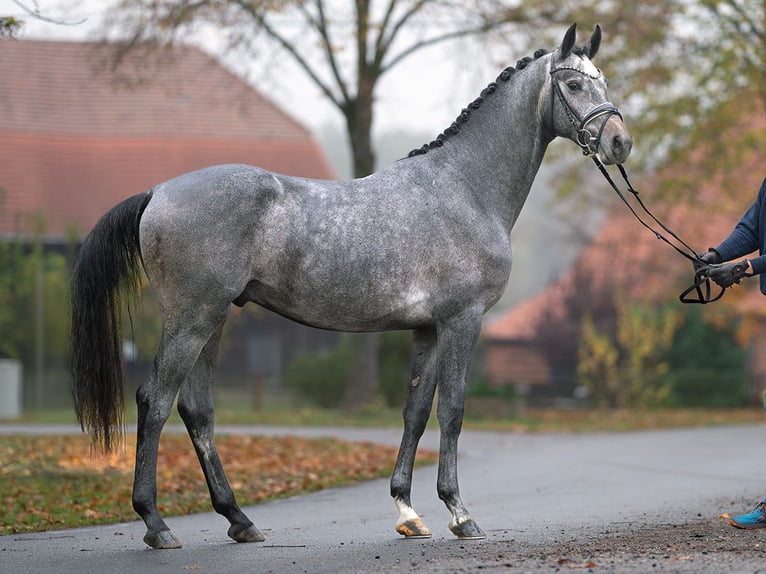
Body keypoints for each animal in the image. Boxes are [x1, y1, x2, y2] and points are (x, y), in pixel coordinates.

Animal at [69, 24, 632, 552]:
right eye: (575, 84)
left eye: (605, 81)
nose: (619, 143)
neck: (466, 187)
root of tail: (158, 192)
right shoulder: (462, 321)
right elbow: (452, 411)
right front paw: (459, 513)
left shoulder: (428, 329)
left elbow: (414, 413)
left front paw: (408, 512)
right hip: (193, 318)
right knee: (155, 400)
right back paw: (156, 523)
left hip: (214, 320)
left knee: (196, 411)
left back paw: (239, 520)